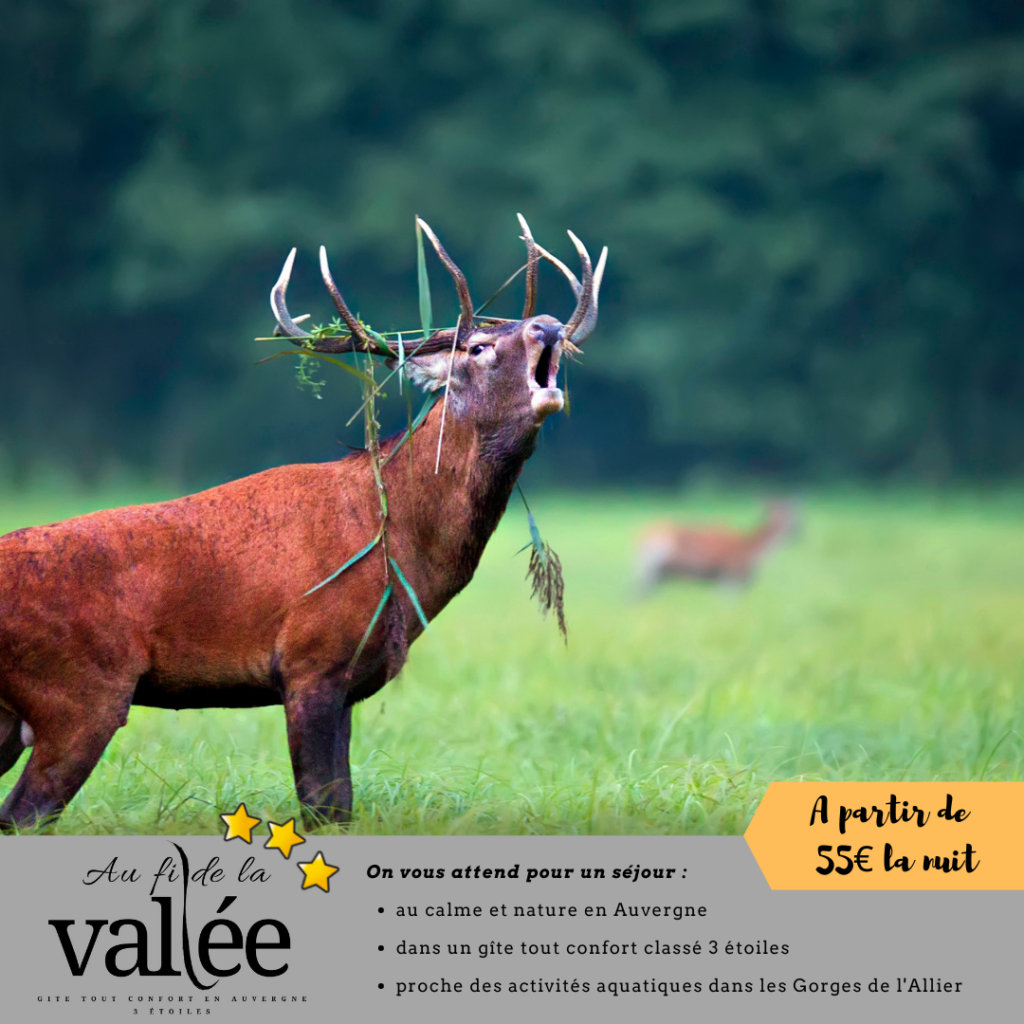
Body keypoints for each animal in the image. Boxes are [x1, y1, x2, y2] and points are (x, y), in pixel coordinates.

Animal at [0, 216, 606, 830]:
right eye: (480, 347)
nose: (549, 325)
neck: (399, 551)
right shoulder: (310, 659)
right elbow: (321, 804)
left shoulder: (349, 680)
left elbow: (341, 806)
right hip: (80, 690)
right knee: (25, 812)